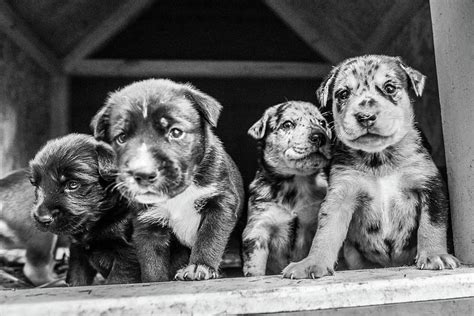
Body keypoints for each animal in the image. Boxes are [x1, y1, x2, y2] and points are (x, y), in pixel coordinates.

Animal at [28, 132, 141, 286]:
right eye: (36, 184)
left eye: (73, 184)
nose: (41, 218)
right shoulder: (78, 251)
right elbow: (77, 278)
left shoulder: (127, 254)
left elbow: (118, 280)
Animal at [90, 79, 244, 282]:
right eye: (121, 138)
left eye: (176, 132)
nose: (143, 174)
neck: (178, 195)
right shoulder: (147, 221)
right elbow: (151, 260)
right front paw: (155, 282)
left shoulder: (220, 201)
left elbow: (209, 236)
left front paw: (199, 267)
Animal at [243, 102, 332, 276]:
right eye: (287, 124)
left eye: (323, 123)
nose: (320, 136)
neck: (296, 182)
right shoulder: (258, 227)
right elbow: (255, 267)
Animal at [282, 54, 460, 278]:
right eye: (343, 94)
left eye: (390, 88)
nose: (365, 116)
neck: (379, 158)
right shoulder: (340, 196)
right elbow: (325, 233)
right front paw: (311, 263)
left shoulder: (430, 186)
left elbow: (432, 225)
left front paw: (435, 255)